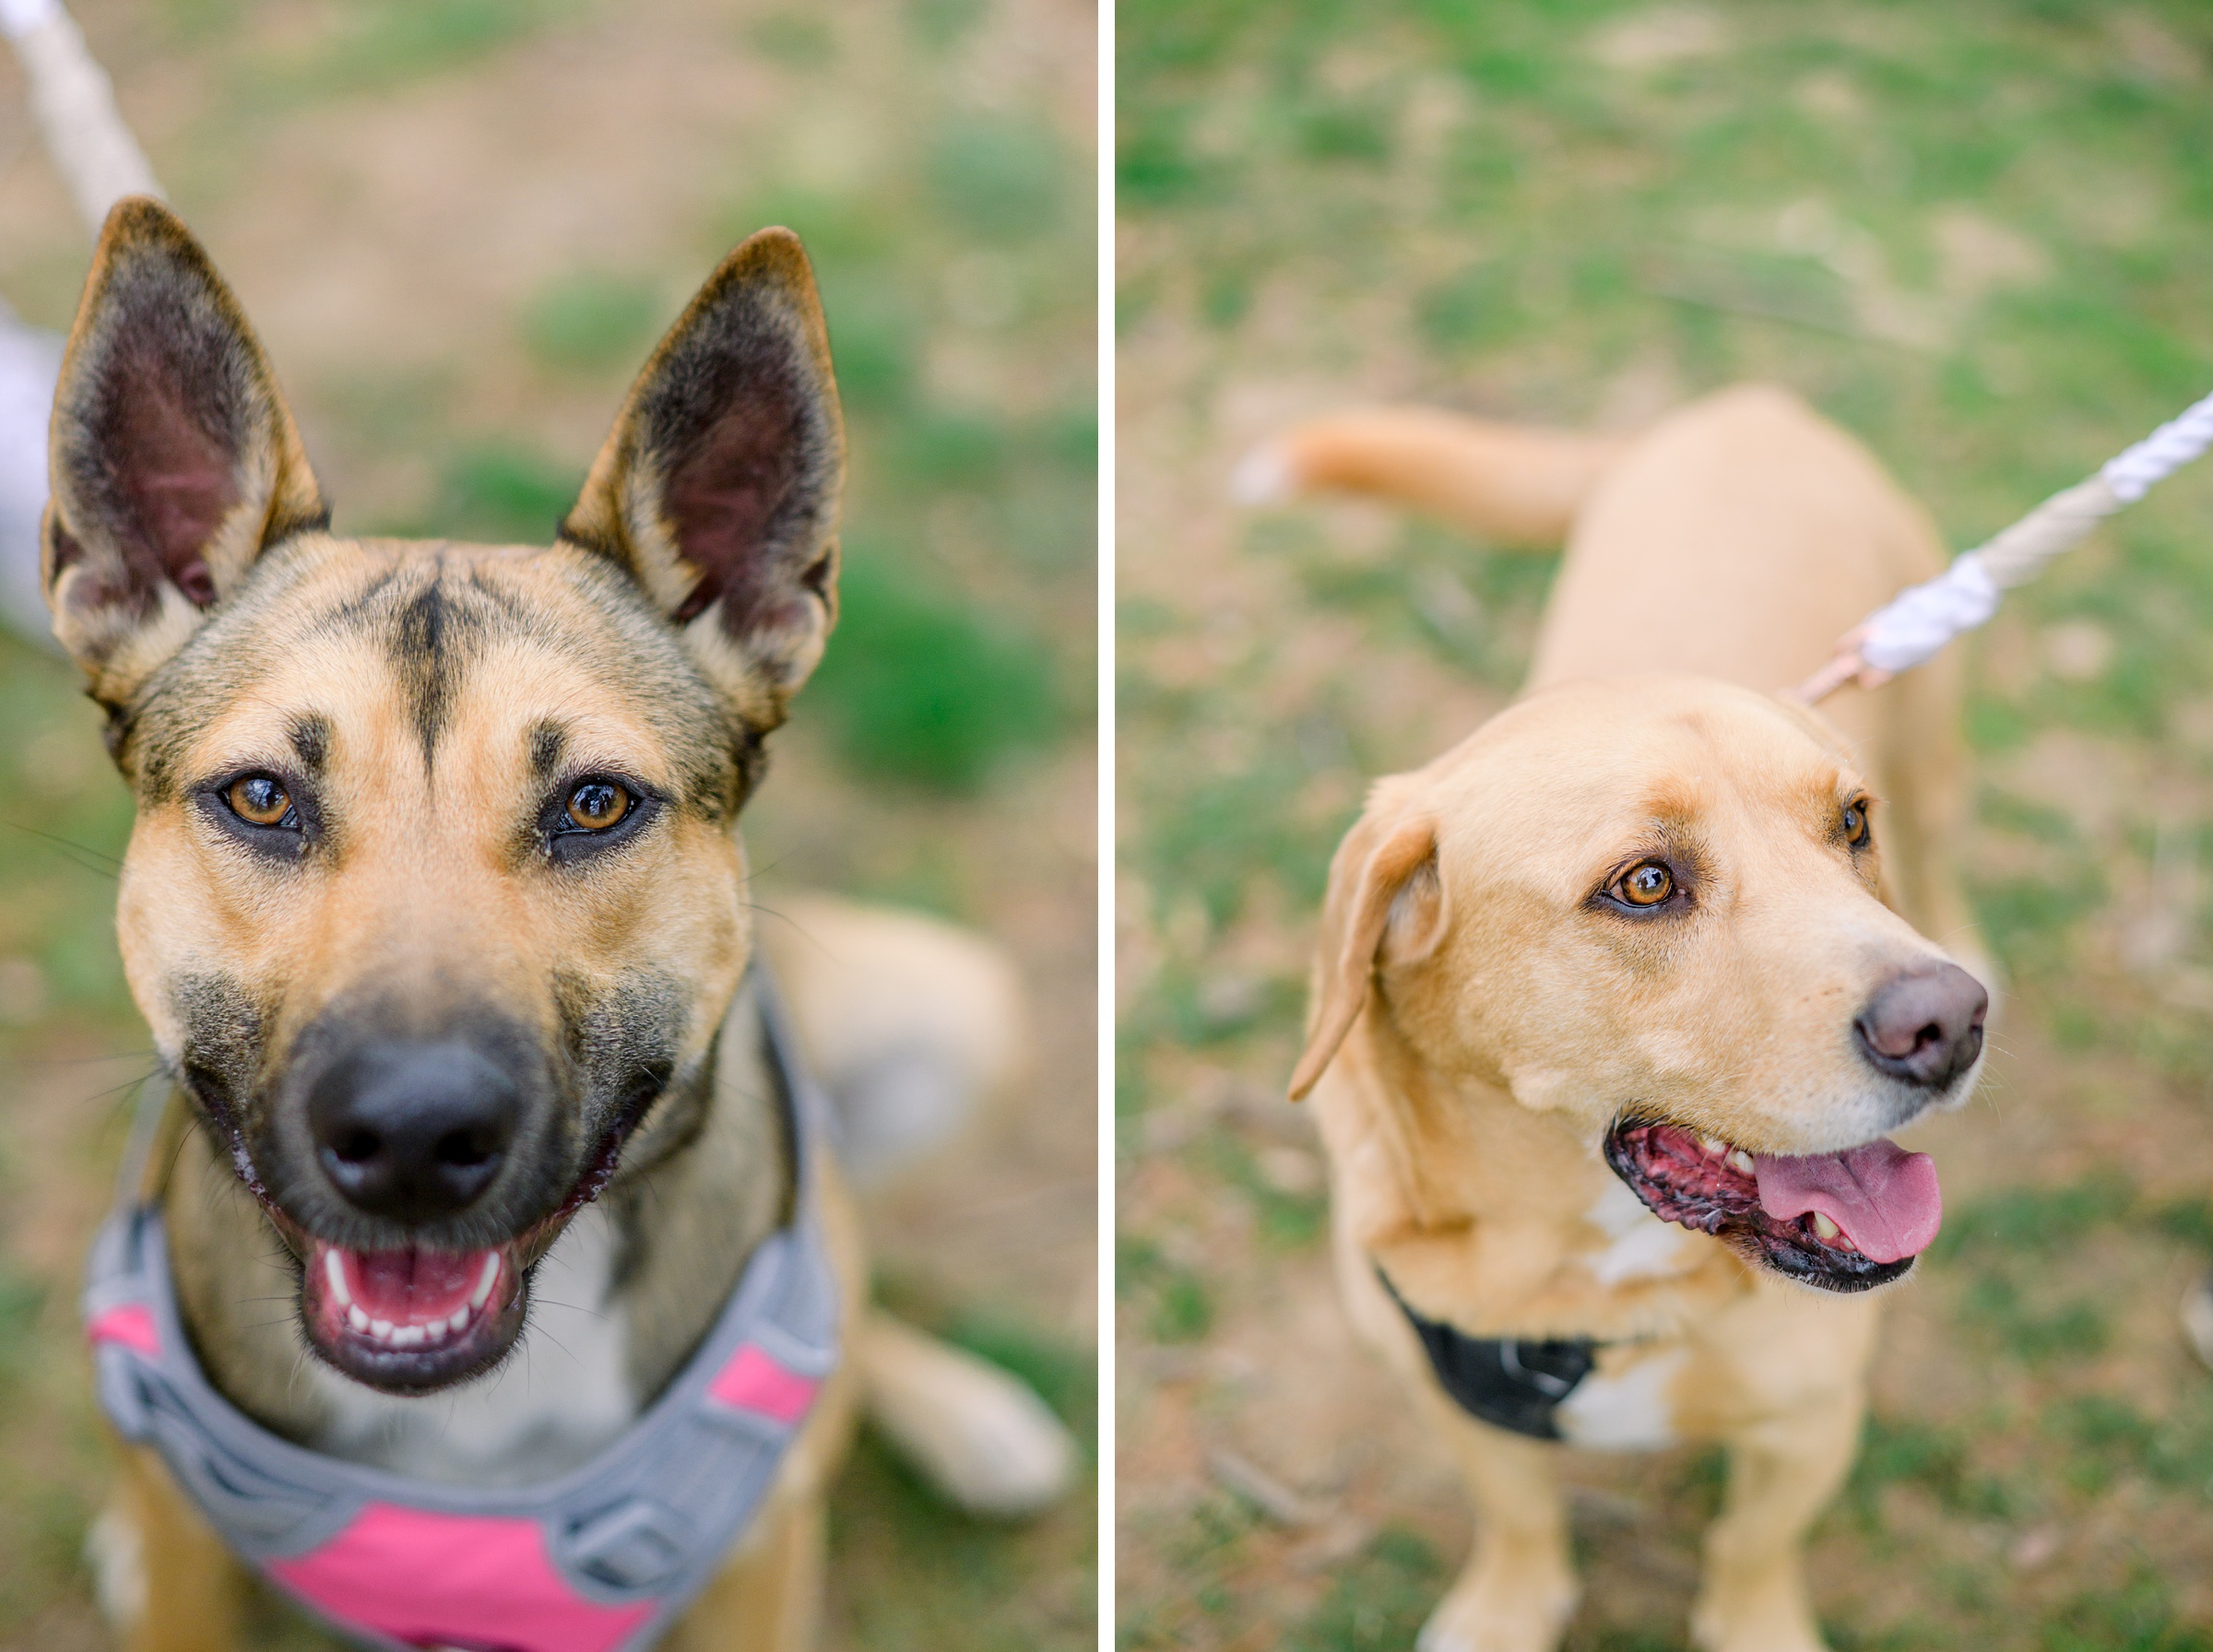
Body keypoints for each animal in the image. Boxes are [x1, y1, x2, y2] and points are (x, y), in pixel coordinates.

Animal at [1257, 391, 2000, 1652]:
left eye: (1850, 824)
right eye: (1644, 884)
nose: (1947, 1024)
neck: (1591, 1276)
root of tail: (1745, 405)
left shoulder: (1811, 1417)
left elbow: (1752, 1546)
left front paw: (1756, 1626)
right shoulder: (1451, 1397)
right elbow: (1517, 1516)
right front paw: (1505, 1608)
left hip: (1935, 752)